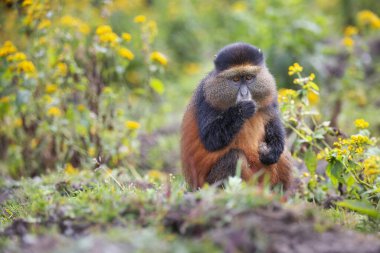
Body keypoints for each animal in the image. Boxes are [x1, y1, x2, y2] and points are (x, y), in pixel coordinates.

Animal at [180, 42, 292, 191]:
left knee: (283, 154)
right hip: (209, 184)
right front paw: (242, 110)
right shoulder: (206, 98)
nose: (244, 94)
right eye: (236, 79)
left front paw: (272, 151)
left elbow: (273, 121)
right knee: (234, 157)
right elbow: (210, 139)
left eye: (249, 78)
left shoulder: (270, 95)